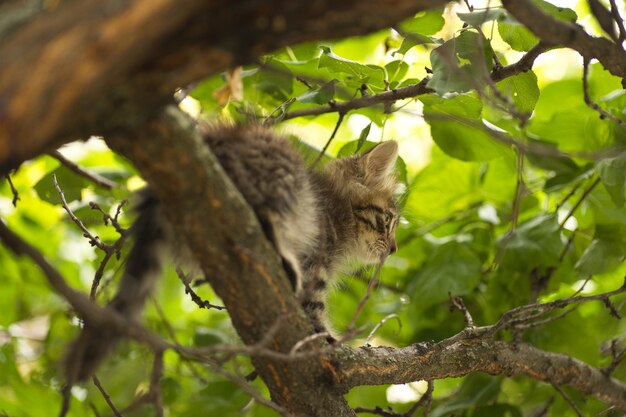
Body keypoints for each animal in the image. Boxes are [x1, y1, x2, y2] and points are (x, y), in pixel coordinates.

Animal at [66, 122, 398, 380]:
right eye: (389, 221)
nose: (393, 249)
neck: (338, 208)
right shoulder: (316, 257)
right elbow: (313, 308)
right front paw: (330, 341)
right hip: (279, 171)